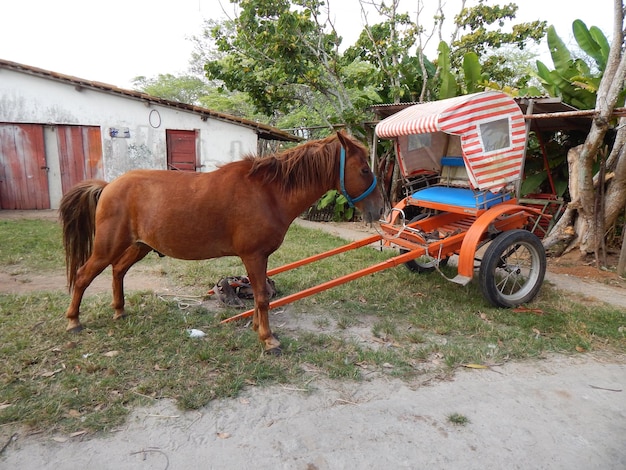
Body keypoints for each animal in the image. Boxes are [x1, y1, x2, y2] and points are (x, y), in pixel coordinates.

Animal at [59, 131, 380, 352]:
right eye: (365, 170)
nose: (378, 209)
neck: (268, 192)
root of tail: (108, 186)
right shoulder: (253, 255)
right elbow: (262, 297)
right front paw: (269, 340)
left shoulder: (259, 258)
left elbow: (261, 292)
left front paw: (256, 327)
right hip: (108, 247)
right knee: (84, 275)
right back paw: (73, 321)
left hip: (140, 246)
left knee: (118, 271)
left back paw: (119, 311)